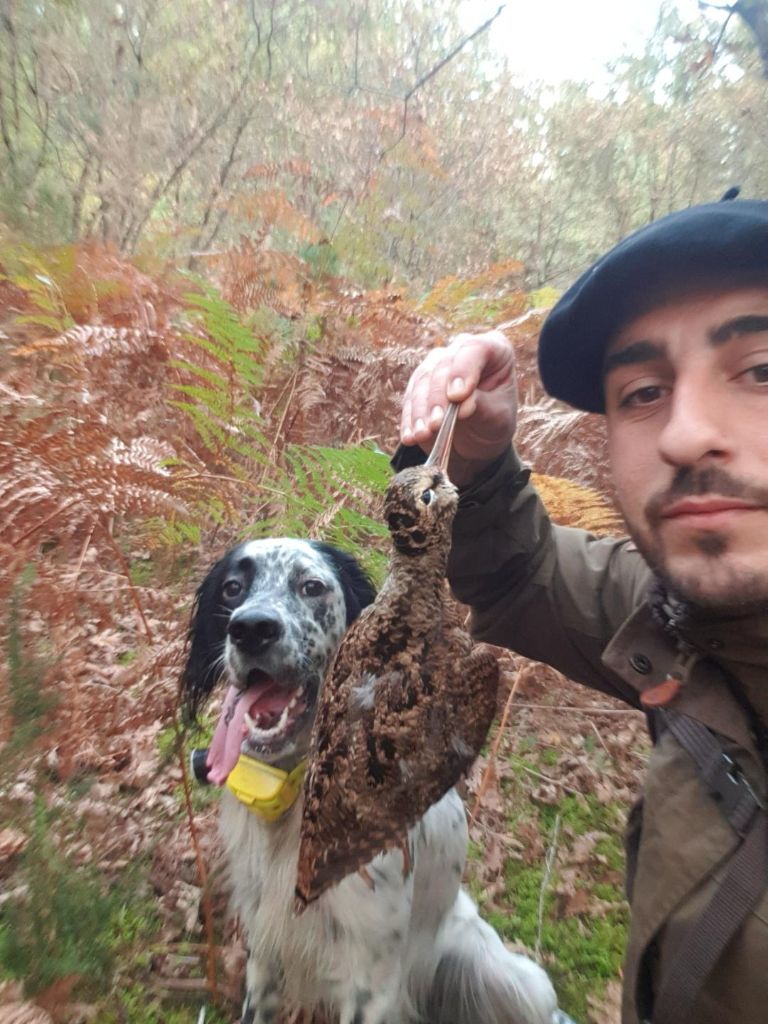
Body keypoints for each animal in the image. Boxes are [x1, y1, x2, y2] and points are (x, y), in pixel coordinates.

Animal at [181, 540, 565, 1019]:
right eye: (232, 587)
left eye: (312, 586)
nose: (251, 629)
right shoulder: (264, 950)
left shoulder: (372, 981)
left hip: (516, 980)